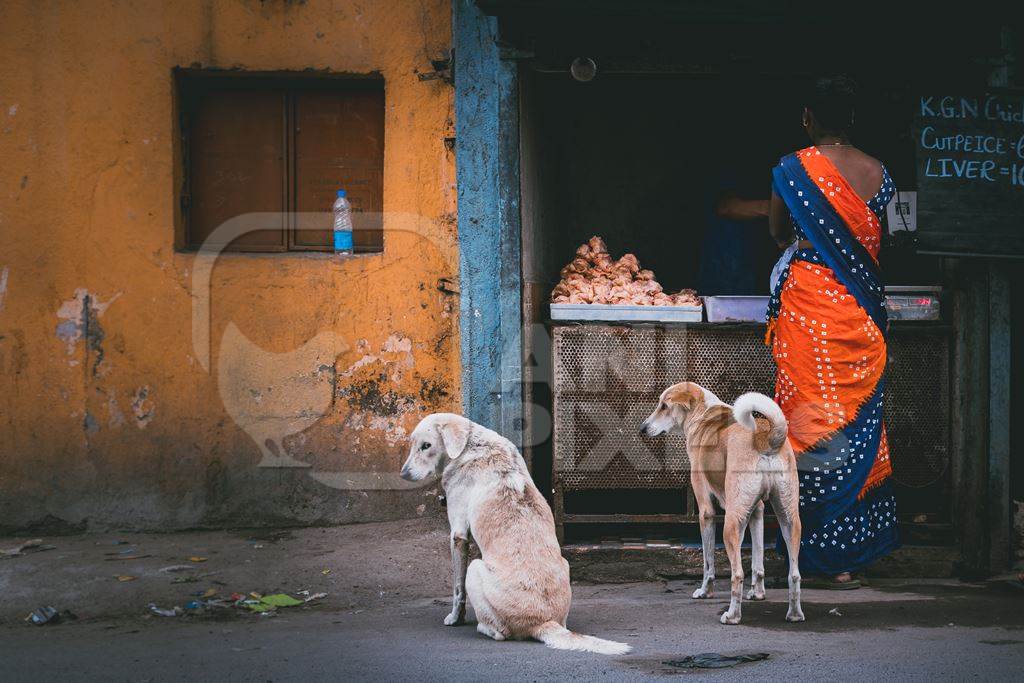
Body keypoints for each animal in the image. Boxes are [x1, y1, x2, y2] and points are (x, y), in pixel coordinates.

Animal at [399, 413, 630, 655]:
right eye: (412, 444)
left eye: (426, 446)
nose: (403, 474)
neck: (471, 444)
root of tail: (543, 622)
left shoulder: (458, 535)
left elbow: (457, 589)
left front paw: (455, 618)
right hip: (565, 567)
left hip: (475, 568)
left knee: (501, 633)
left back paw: (484, 628)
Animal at [638, 385, 798, 626]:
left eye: (664, 406)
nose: (642, 429)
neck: (702, 414)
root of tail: (766, 437)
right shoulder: (756, 511)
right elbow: (758, 561)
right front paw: (758, 593)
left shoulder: (706, 512)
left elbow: (708, 562)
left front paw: (705, 591)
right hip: (789, 519)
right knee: (794, 574)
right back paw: (795, 614)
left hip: (731, 523)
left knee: (737, 574)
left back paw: (732, 616)